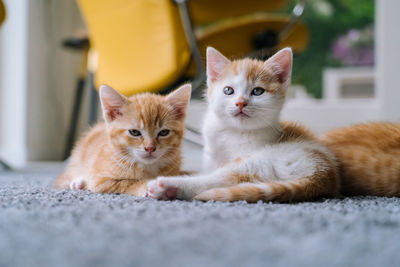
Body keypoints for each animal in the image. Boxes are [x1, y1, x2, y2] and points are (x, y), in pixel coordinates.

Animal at [54, 84, 191, 197]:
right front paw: (149, 186)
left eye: (163, 132)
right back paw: (78, 183)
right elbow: (128, 183)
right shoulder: (101, 182)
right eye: (134, 132)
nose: (150, 148)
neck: (146, 167)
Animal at [145, 47, 340, 202]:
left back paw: (167, 186)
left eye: (258, 91)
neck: (233, 131)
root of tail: (323, 175)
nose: (240, 103)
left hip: (262, 160)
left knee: (217, 179)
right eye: (228, 90)